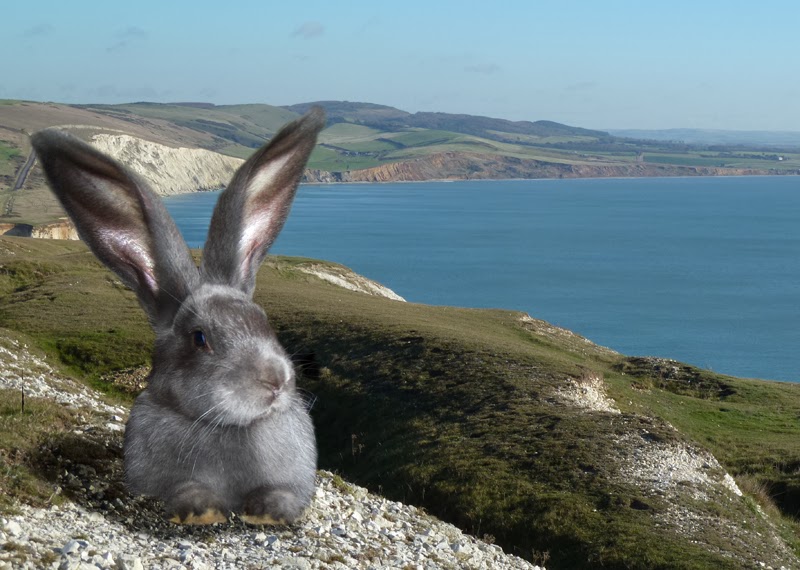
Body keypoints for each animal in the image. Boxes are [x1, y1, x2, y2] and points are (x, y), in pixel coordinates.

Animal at [30, 108, 326, 525]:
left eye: (263, 320)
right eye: (200, 338)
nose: (275, 381)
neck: (226, 427)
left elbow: (281, 493)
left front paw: (270, 513)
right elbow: (185, 489)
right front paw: (204, 511)